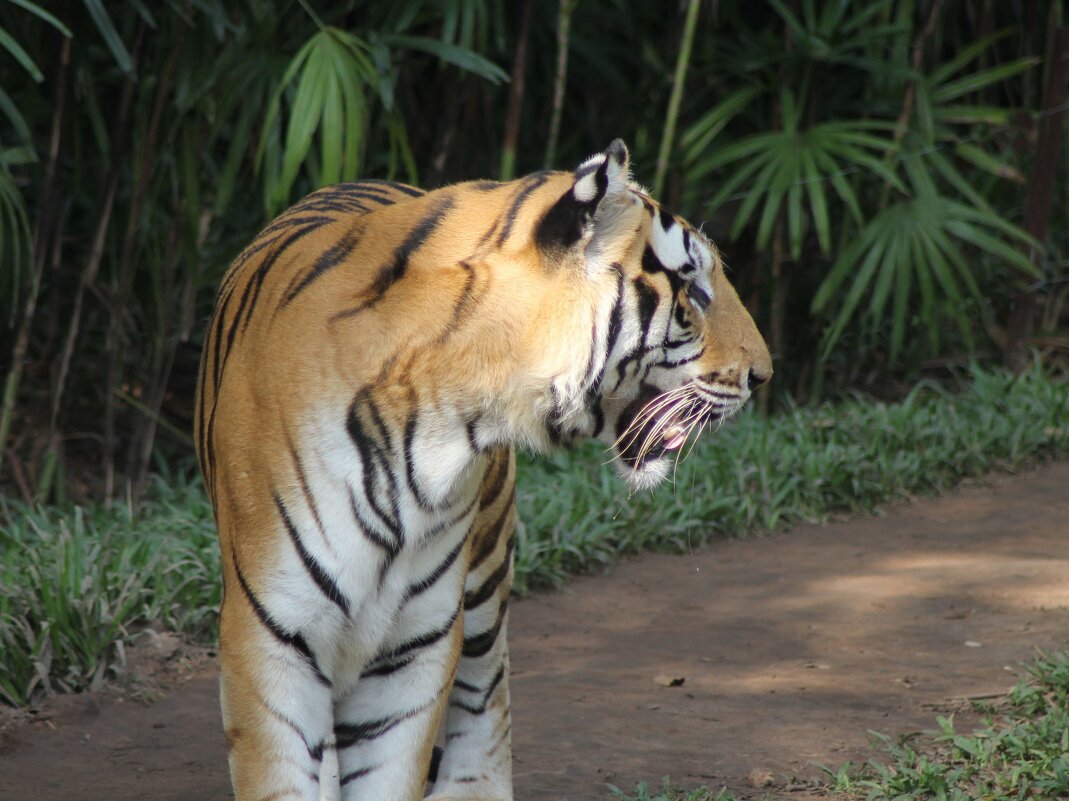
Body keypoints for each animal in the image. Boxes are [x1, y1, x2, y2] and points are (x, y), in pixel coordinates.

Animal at [194, 140, 769, 799]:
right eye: (694, 291)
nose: (764, 374)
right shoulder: (269, 640)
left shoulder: (414, 645)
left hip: (485, 567)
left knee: (487, 682)